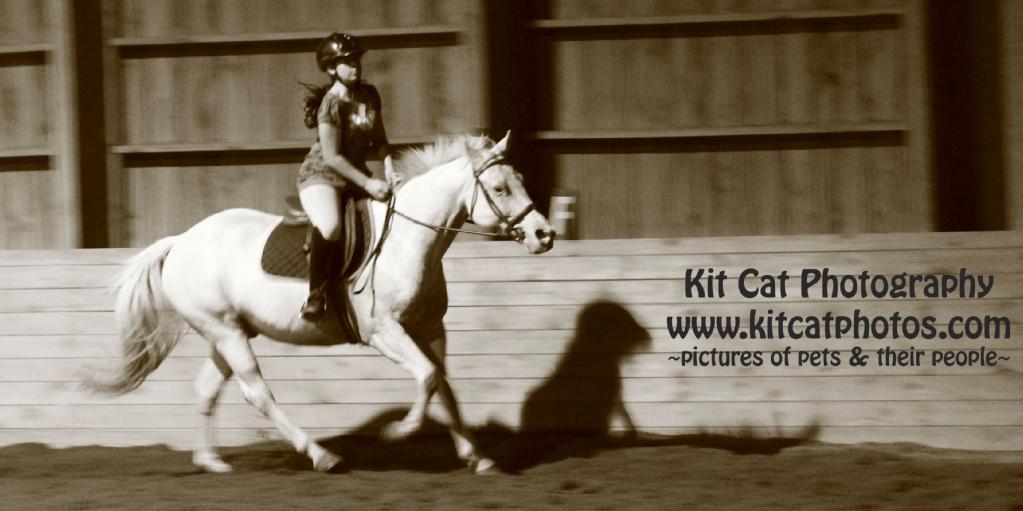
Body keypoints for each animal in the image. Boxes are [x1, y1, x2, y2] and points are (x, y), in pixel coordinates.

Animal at [88, 132, 555, 475]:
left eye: (520, 180)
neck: (408, 239)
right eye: (499, 188)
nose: (544, 235)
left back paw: (211, 461)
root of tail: (181, 240)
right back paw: (322, 455)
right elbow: (426, 377)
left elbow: (443, 384)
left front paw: (478, 457)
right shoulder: (385, 332)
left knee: (208, 389)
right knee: (258, 394)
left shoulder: (428, 328)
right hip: (225, 331)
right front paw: (399, 432)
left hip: (227, 332)